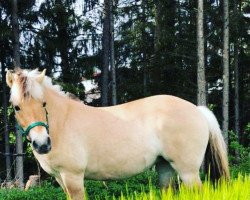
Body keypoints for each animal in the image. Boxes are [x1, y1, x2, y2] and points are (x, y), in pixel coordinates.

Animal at [6, 69, 229, 200]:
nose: (42, 144)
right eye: (16, 107)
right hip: (165, 167)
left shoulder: (73, 177)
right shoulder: (61, 179)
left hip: (188, 172)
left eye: (43, 103)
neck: (63, 121)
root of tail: (198, 110)